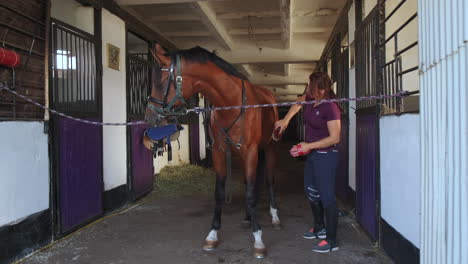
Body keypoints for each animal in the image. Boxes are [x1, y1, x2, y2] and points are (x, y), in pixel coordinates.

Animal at [144, 43, 280, 258]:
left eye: (163, 82)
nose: (148, 117)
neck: (231, 103)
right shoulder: (219, 151)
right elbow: (220, 193)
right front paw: (213, 235)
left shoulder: (250, 151)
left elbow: (251, 193)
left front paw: (258, 239)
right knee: (251, 183)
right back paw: (248, 218)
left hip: (269, 148)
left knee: (268, 180)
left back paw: (274, 216)